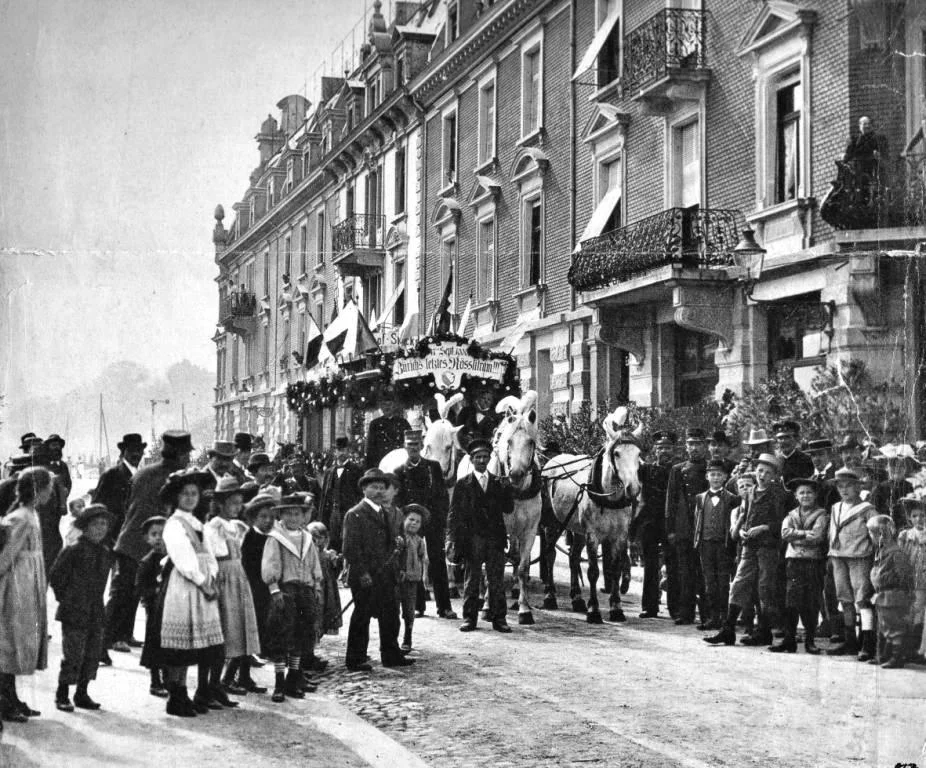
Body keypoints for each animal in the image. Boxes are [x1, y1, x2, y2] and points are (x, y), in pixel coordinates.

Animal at [460, 390, 548, 624]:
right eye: (509, 441)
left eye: (530, 441)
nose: (516, 474)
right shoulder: (493, 530)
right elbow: (490, 568)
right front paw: (487, 607)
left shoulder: (529, 530)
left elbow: (523, 568)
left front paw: (524, 610)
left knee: (514, 558)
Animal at [540, 408, 640, 624]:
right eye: (617, 453)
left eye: (638, 453)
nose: (633, 488)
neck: (609, 498)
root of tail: (552, 460)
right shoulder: (593, 535)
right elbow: (593, 571)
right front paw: (594, 610)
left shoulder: (619, 535)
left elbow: (615, 569)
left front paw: (616, 608)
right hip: (552, 523)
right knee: (550, 555)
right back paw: (550, 596)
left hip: (576, 529)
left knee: (574, 558)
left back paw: (577, 599)